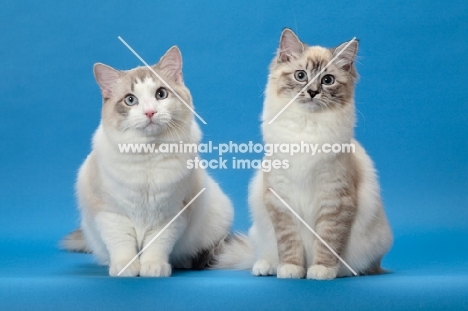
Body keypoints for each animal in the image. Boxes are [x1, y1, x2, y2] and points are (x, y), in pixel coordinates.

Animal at [62, 46, 234, 278]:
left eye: (161, 94)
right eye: (130, 100)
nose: (150, 112)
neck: (149, 154)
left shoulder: (170, 216)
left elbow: (157, 245)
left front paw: (153, 267)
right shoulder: (112, 215)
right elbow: (122, 245)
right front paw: (126, 268)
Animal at [218, 30, 394, 282]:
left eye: (328, 80)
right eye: (301, 76)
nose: (312, 92)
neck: (306, 127)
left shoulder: (334, 201)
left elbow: (327, 242)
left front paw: (321, 270)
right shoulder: (280, 200)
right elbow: (289, 244)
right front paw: (291, 269)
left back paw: (343, 271)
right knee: (265, 253)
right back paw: (266, 266)